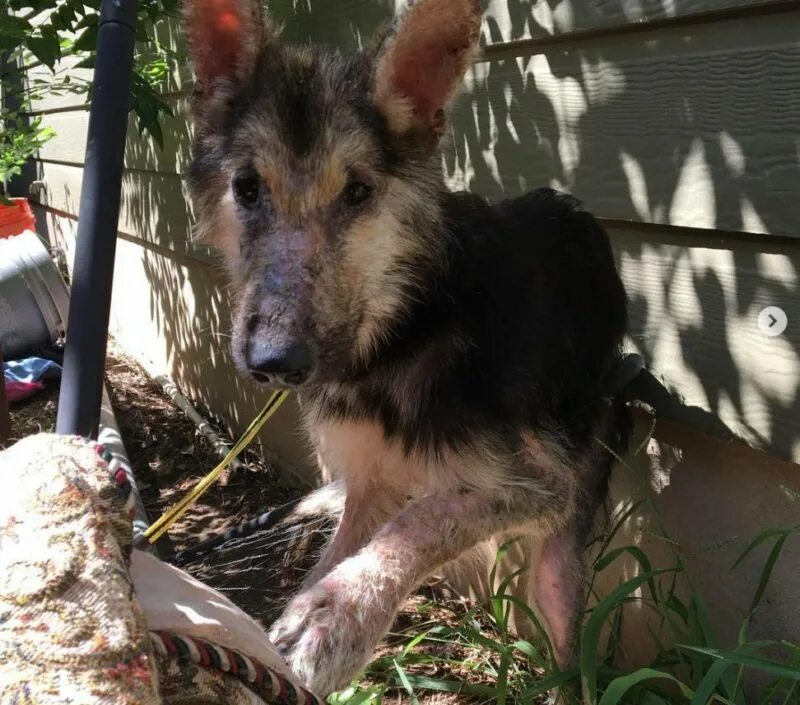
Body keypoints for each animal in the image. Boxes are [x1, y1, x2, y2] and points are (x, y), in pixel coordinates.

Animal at [181, 0, 632, 692]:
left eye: (358, 192)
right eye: (248, 188)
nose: (276, 364)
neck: (405, 327)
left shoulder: (536, 486)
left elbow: (418, 524)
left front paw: (338, 614)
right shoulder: (370, 481)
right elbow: (344, 547)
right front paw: (296, 624)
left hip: (567, 532)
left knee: (565, 654)